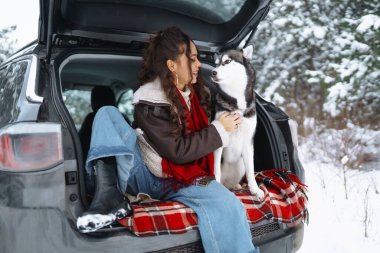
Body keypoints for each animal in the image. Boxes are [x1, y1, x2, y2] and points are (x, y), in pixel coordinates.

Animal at [211, 46, 264, 200]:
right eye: (216, 63)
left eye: (227, 61)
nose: (213, 72)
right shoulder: (219, 140)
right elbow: (216, 170)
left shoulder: (248, 141)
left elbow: (251, 171)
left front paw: (255, 189)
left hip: (240, 164)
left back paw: (235, 185)